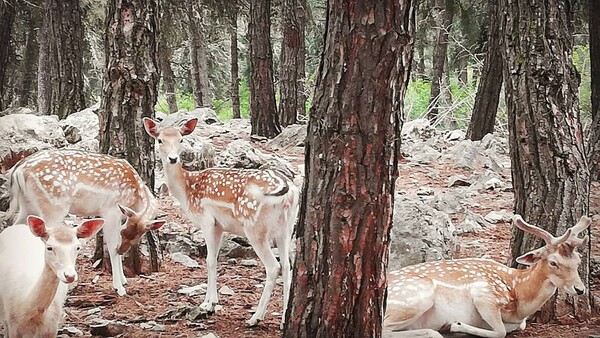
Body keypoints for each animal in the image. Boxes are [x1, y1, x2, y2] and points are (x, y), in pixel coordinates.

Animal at [5, 150, 166, 296]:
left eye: (136, 238)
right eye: (124, 232)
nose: (123, 250)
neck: (136, 194)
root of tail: (18, 170)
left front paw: (124, 279)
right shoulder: (110, 210)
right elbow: (112, 245)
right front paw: (119, 288)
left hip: (27, 206)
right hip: (53, 206)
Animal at [144, 117, 302, 326]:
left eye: (181, 140)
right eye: (160, 140)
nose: (172, 158)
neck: (187, 191)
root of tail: (288, 190)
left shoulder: (207, 220)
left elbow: (210, 260)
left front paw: (208, 304)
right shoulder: (219, 226)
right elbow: (215, 259)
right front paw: (211, 302)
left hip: (255, 227)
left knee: (273, 267)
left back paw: (255, 318)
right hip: (287, 227)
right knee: (286, 265)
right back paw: (285, 317)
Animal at [384, 215, 592, 338]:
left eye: (578, 260)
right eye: (553, 262)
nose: (580, 289)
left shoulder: (519, 322)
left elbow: (511, 328)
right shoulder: (484, 292)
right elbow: (500, 331)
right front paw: (455, 325)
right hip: (415, 296)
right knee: (385, 329)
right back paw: (438, 330)